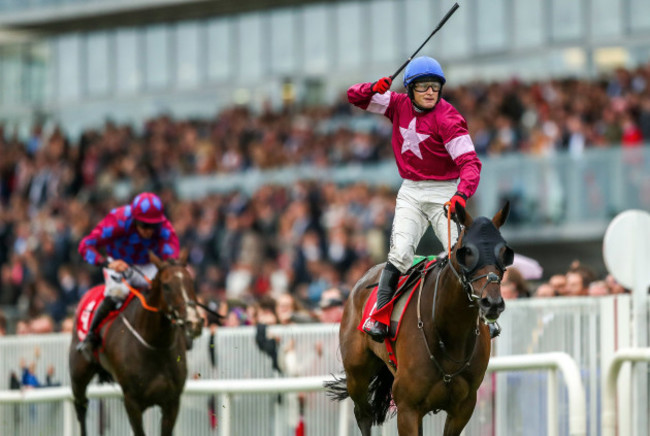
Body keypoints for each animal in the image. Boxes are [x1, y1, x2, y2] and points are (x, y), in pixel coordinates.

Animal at [68, 250, 202, 434]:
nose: (193, 322)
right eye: (166, 286)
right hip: (78, 375)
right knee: (81, 408)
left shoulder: (172, 402)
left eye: (191, 282)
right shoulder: (132, 402)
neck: (155, 345)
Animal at [326, 203, 512, 434]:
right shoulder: (408, 408)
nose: (492, 302)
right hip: (357, 373)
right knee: (363, 415)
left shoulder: (463, 408)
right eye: (466, 251)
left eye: (505, 251)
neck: (451, 334)